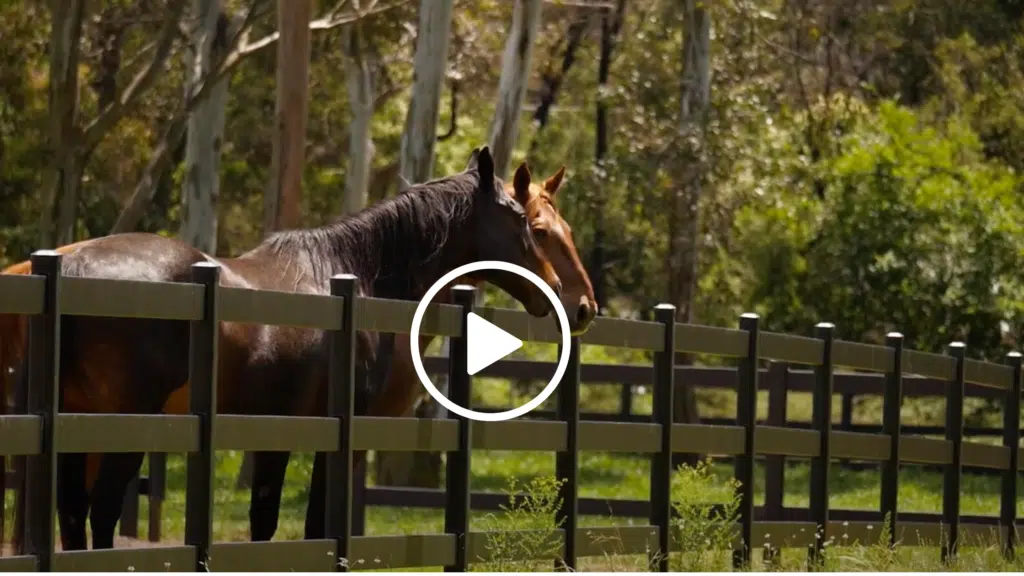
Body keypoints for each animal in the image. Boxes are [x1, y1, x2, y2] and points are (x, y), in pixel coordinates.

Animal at [1, 146, 563, 552]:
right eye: (524, 222)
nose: (559, 293)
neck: (358, 276)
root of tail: (70, 266)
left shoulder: (274, 431)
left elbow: (265, 524)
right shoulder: (334, 438)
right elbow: (315, 527)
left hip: (79, 421)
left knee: (74, 515)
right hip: (126, 425)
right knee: (99, 514)